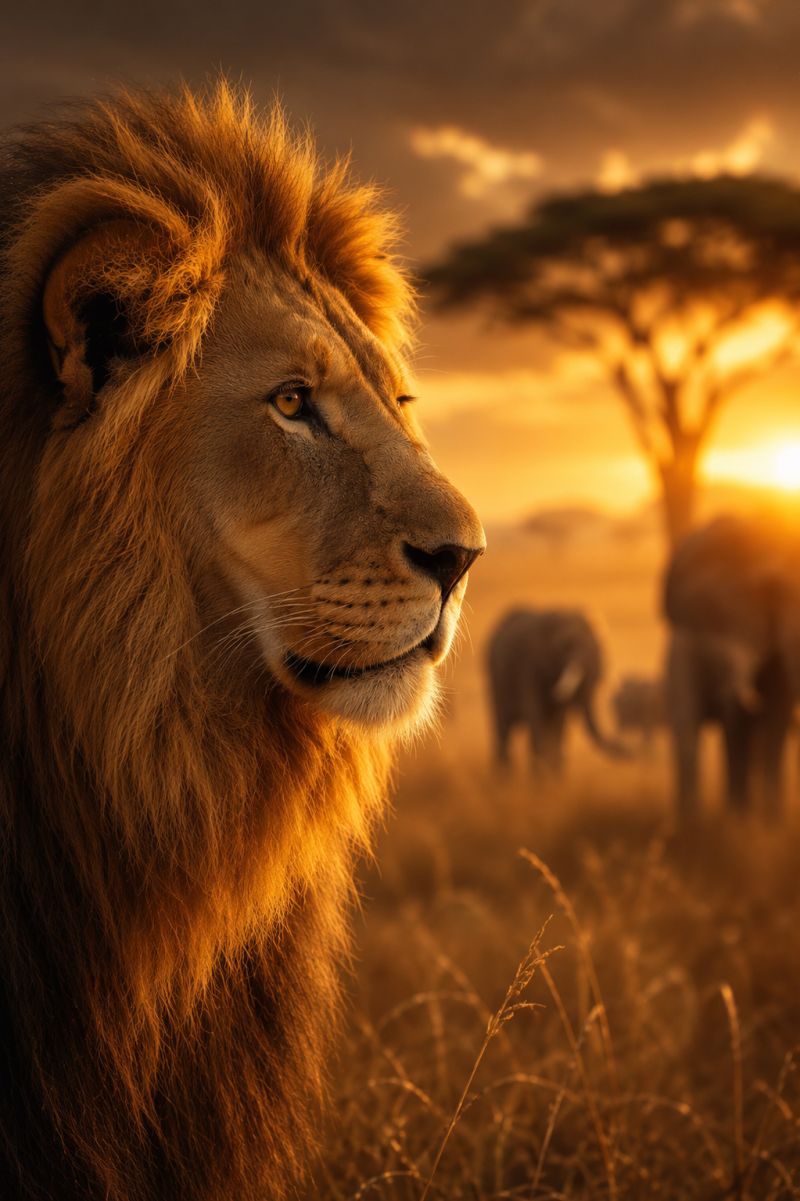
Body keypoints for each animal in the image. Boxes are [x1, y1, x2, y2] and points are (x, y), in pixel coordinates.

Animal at [487, 607, 629, 775]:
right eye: (566, 646)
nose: (629, 747)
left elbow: (558, 726)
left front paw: (553, 776)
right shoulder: (529, 665)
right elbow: (536, 716)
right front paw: (542, 777)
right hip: (493, 678)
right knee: (503, 729)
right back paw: (503, 777)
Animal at [663, 513, 799, 819]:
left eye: (764, 614)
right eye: (713, 618)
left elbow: (776, 717)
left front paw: (769, 821)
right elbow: (737, 723)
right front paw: (740, 820)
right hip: (676, 663)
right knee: (686, 731)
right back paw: (689, 820)